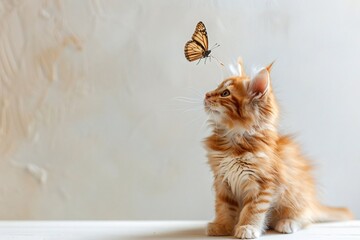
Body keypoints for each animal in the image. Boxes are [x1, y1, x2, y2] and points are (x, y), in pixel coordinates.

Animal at [204, 58, 352, 238]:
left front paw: (247, 227)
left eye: (225, 93)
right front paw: (222, 225)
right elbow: (223, 207)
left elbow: (253, 209)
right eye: (216, 88)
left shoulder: (262, 184)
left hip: (297, 196)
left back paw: (287, 223)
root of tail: (314, 201)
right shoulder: (222, 181)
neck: (233, 142)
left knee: (305, 216)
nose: (206, 94)